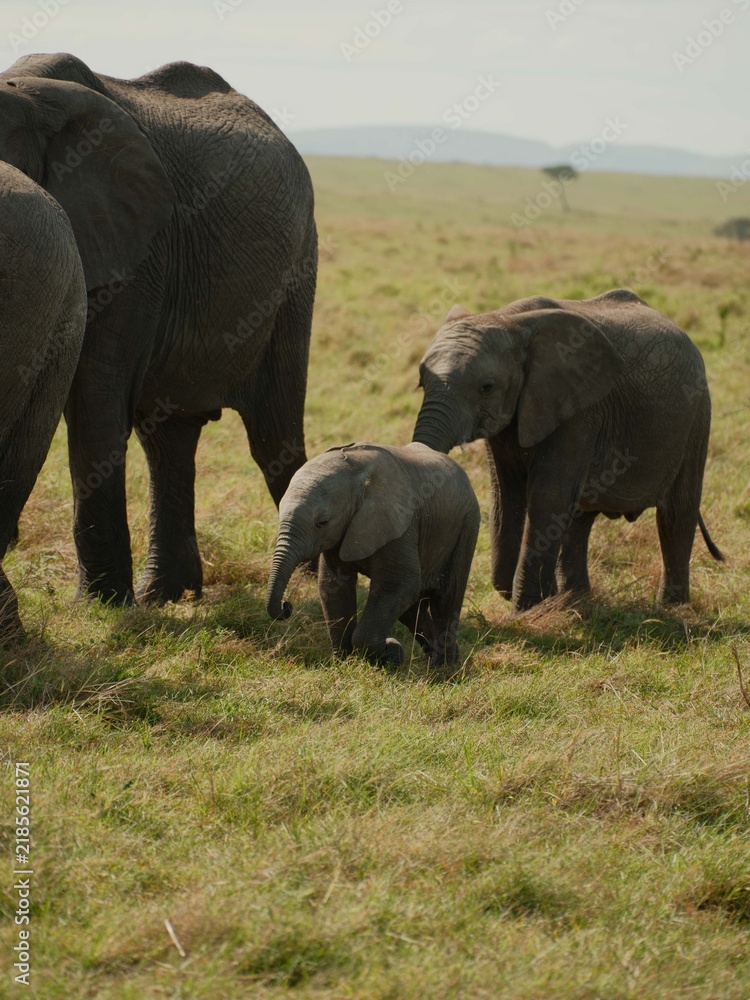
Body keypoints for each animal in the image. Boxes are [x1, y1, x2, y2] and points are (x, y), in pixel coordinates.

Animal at [0, 52, 317, 605]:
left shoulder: (140, 246)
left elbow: (95, 400)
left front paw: (101, 606)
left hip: (296, 270)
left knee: (273, 436)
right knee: (168, 438)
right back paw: (165, 595)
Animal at [266, 442, 480, 668]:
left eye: (322, 522)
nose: (287, 606)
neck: (356, 475)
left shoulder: (400, 526)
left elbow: (401, 585)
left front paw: (389, 653)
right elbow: (334, 587)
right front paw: (344, 662)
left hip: (466, 525)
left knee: (446, 598)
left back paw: (443, 667)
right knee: (411, 608)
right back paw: (442, 658)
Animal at [412, 289, 723, 611]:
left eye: (486, 387)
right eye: (421, 383)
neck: (509, 320)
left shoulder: (579, 410)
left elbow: (548, 496)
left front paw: (528, 608)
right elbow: (505, 493)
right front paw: (525, 595)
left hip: (696, 416)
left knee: (676, 513)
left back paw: (672, 608)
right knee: (579, 520)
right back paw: (575, 599)